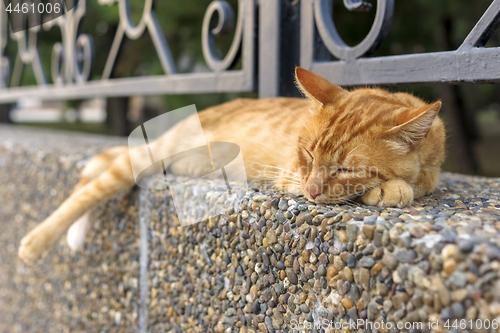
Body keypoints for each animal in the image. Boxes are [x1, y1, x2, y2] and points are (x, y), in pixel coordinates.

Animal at [17, 67, 446, 264]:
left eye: (344, 169)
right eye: (307, 155)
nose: (311, 192)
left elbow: (421, 180)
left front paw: (395, 186)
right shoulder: (289, 174)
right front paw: (392, 188)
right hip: (144, 158)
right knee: (89, 188)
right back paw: (38, 240)